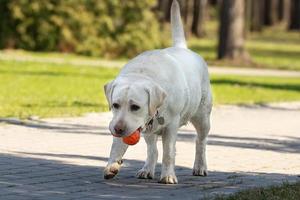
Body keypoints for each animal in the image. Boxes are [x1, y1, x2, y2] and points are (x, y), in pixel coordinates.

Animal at [104, 0, 212, 184]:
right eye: (115, 105)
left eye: (135, 107)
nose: (118, 129)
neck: (143, 73)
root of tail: (182, 48)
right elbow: (116, 147)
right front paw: (112, 165)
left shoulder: (171, 126)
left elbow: (168, 153)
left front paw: (168, 176)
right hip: (150, 129)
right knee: (152, 149)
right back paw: (147, 169)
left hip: (203, 117)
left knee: (200, 141)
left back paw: (200, 166)